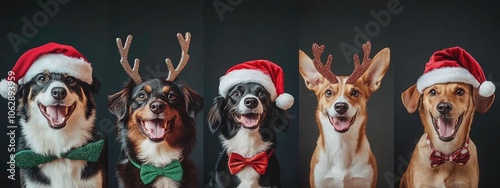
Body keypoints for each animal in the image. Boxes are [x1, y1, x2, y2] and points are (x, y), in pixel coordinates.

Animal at [298, 40, 388, 187]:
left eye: (355, 92)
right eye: (328, 92)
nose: (341, 106)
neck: (341, 145)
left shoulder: (367, 181)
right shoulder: (319, 181)